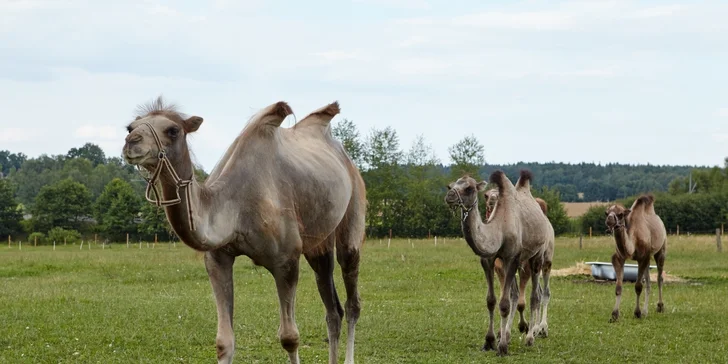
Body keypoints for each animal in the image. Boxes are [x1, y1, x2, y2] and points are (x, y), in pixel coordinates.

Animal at [123, 96, 370, 364]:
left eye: (173, 130)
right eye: (130, 127)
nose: (131, 142)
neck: (234, 208)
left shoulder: (286, 261)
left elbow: (290, 337)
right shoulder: (218, 258)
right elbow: (224, 342)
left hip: (354, 209)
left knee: (352, 298)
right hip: (318, 244)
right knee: (333, 308)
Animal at [440, 171, 556, 356]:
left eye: (469, 188)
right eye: (450, 186)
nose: (449, 196)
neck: (499, 228)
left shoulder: (512, 258)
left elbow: (504, 304)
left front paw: (502, 347)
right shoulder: (488, 261)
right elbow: (492, 300)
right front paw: (490, 341)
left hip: (539, 257)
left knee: (537, 295)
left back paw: (533, 335)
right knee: (517, 294)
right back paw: (508, 334)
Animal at [604, 193, 664, 322]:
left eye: (621, 214)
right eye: (606, 213)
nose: (609, 220)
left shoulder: (642, 258)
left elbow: (638, 286)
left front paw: (637, 313)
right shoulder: (619, 259)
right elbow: (618, 287)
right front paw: (614, 314)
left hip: (661, 249)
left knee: (659, 278)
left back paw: (660, 307)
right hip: (648, 259)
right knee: (648, 283)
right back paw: (646, 311)